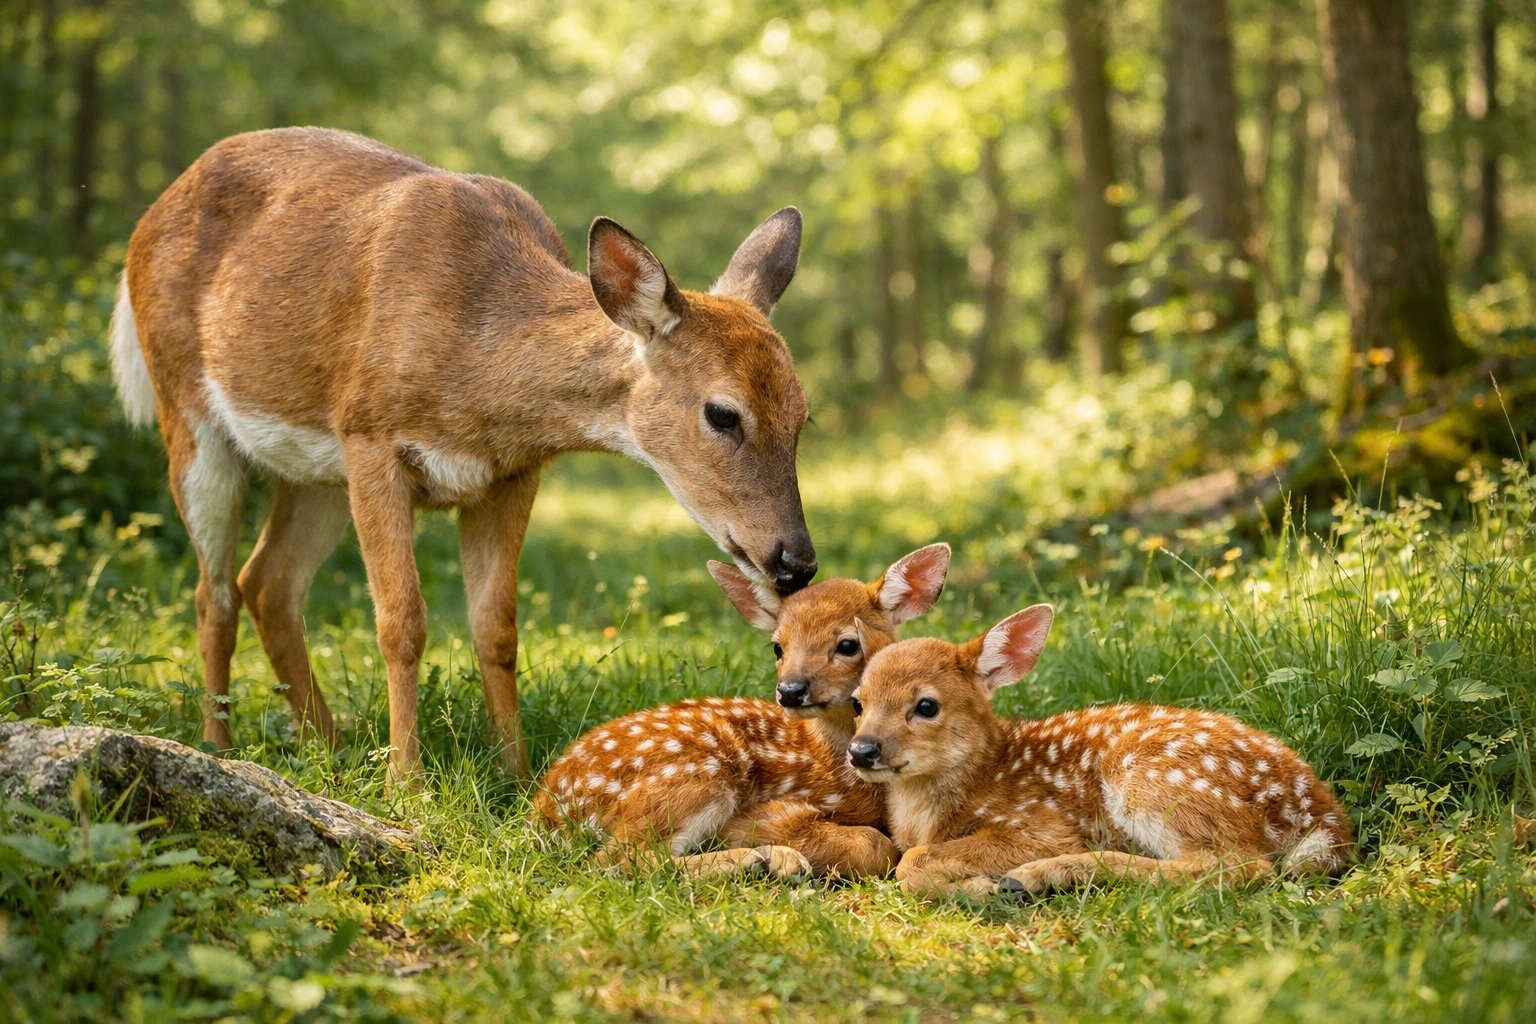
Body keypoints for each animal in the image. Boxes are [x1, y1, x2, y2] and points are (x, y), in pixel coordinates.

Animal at [108, 126, 818, 783]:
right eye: (722, 413)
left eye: (803, 414)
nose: (796, 561)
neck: (479, 372)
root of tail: (144, 223)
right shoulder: (370, 435)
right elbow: (401, 622)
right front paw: (406, 781)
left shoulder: (512, 473)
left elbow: (496, 628)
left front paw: (517, 773)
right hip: (189, 414)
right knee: (214, 591)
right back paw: (219, 748)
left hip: (315, 472)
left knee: (268, 583)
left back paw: (330, 749)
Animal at [534, 543, 951, 879]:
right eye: (777, 646)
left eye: (848, 644)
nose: (790, 690)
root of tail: (549, 808)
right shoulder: (773, 810)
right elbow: (875, 845)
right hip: (697, 774)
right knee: (618, 860)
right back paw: (764, 861)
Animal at [847, 605, 1356, 899]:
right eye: (858, 701)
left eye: (926, 705)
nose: (861, 750)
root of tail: (1320, 814)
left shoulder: (1039, 826)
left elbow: (910, 861)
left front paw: (981, 887)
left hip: (1151, 778)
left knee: (1237, 867)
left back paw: (1037, 877)